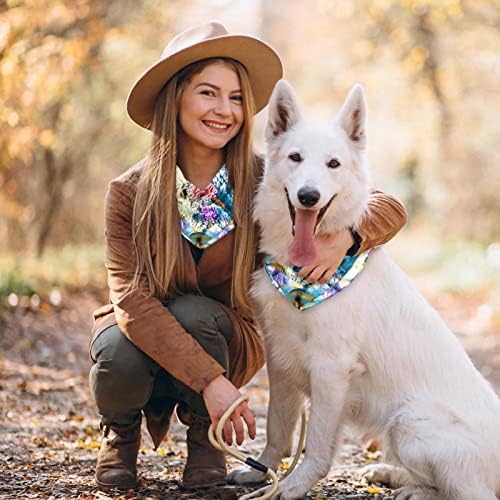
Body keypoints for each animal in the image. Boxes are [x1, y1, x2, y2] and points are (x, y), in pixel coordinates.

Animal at [229, 81, 500, 500]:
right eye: (295, 158)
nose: (308, 196)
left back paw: (414, 489)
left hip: (407, 423)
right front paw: (263, 472)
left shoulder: (330, 368)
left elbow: (317, 445)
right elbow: (277, 428)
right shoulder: (280, 360)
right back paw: (389, 474)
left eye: (333, 164)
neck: (303, 275)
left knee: (470, 493)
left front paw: (291, 486)